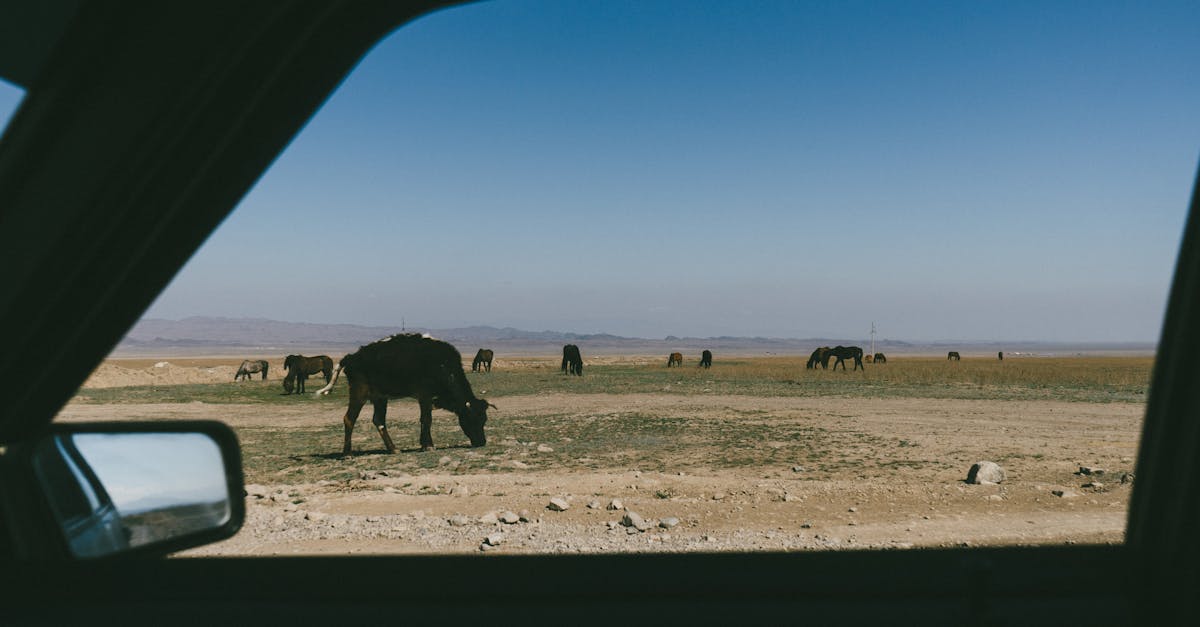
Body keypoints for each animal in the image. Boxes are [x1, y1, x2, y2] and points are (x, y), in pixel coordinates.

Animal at [315, 334, 493, 454]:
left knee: (379, 420)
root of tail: (351, 357)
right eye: (473, 418)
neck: (444, 367)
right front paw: (429, 446)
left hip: (380, 397)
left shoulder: (424, 399)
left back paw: (393, 449)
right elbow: (426, 420)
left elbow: (423, 420)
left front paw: (424, 444)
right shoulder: (425, 396)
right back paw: (347, 453)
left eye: (484, 419)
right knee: (349, 419)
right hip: (359, 393)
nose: (482, 442)